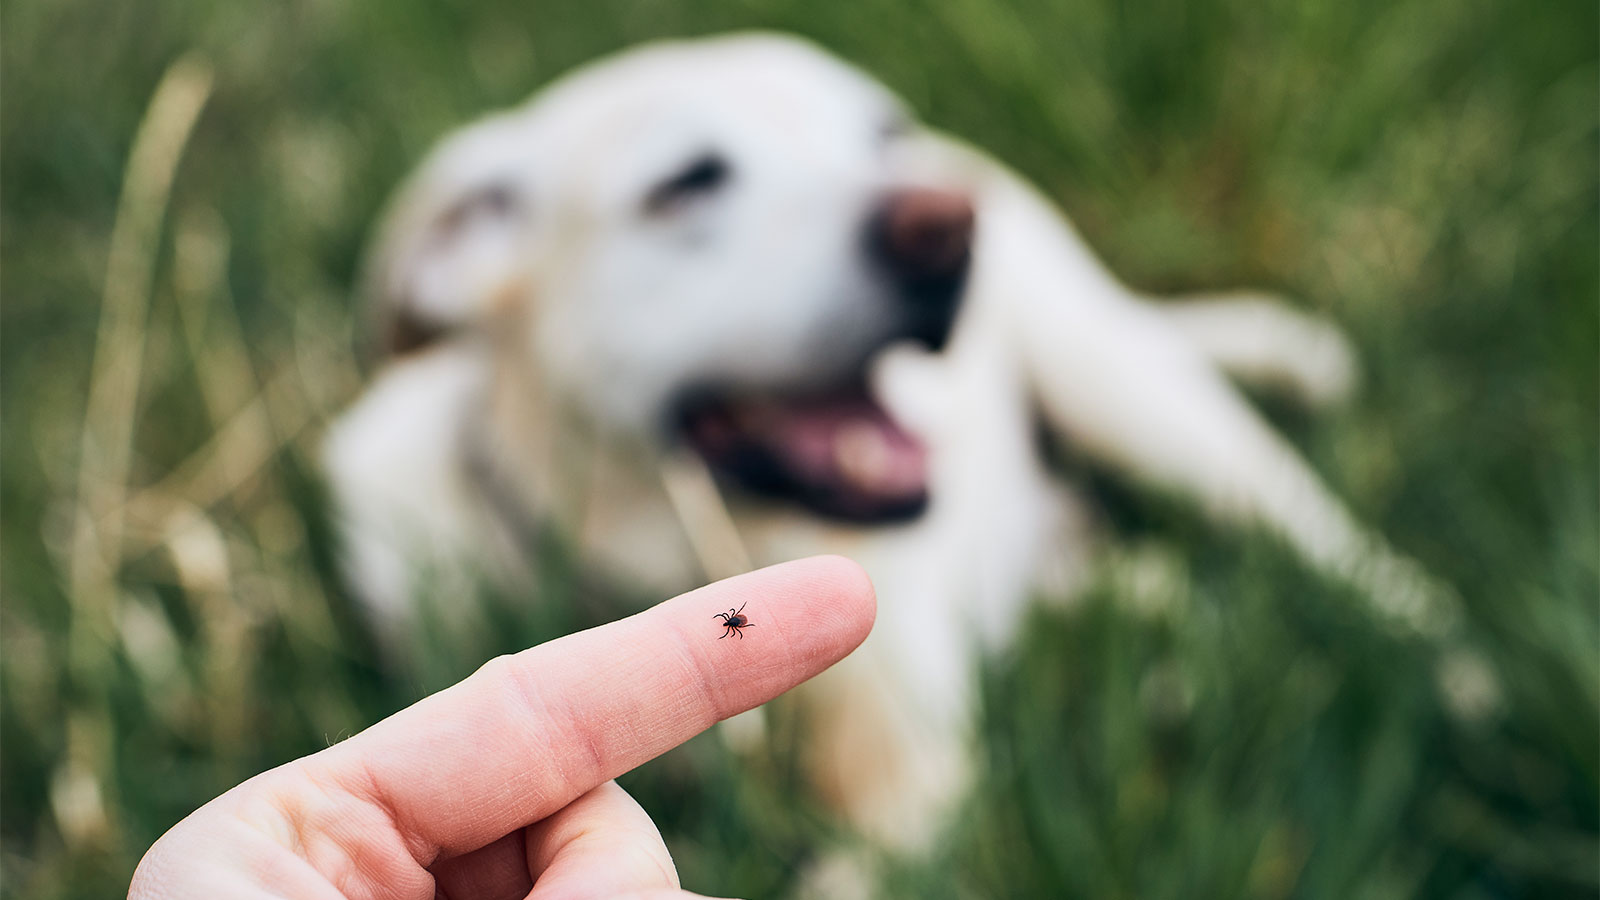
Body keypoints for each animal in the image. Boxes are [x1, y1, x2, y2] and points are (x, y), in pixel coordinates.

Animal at [318, 29, 1459, 851]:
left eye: (879, 136)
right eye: (687, 183)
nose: (947, 227)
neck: (669, 553)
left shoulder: (910, 791)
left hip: (1136, 400)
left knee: (1338, 551)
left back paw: (1456, 674)